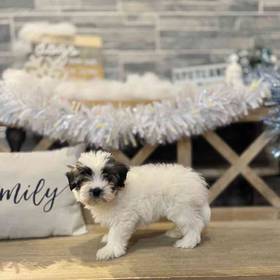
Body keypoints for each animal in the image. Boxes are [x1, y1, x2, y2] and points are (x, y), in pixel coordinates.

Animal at [66, 151, 210, 260]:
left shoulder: (123, 218)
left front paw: (110, 250)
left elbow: (116, 233)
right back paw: (177, 232)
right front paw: (108, 239)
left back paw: (188, 242)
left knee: (194, 224)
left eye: (108, 177)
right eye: (83, 179)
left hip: (181, 207)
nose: (96, 190)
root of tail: (197, 179)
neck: (116, 195)